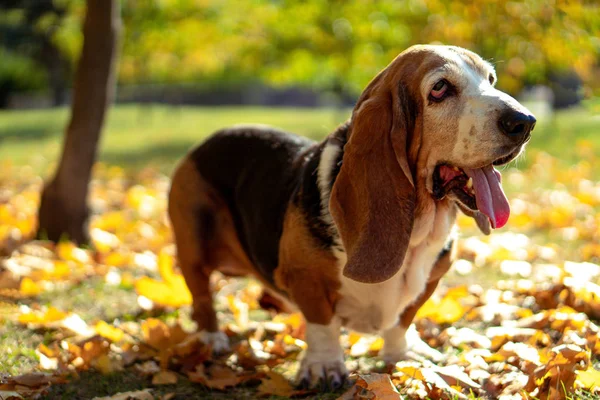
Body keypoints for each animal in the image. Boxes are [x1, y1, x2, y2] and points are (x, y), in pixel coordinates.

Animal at [168, 44, 536, 390]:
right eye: (440, 88)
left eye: (491, 80)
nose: (525, 122)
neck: (418, 233)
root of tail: (207, 140)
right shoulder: (306, 278)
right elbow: (322, 325)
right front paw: (324, 366)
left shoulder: (431, 278)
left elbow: (402, 321)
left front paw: (403, 354)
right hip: (192, 246)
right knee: (202, 297)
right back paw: (211, 339)